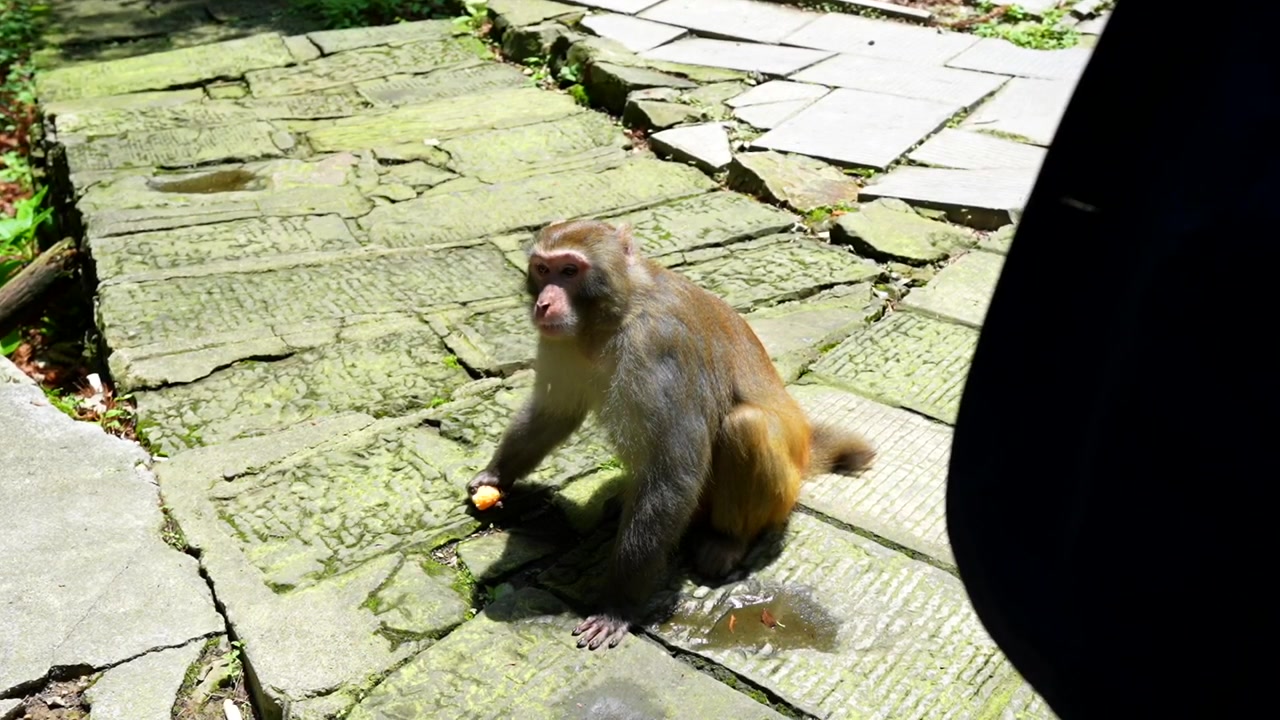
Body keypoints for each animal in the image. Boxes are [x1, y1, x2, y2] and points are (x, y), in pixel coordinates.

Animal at [466, 219, 875, 651]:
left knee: (746, 427)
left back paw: (728, 541)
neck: (613, 316)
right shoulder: (561, 340)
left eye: (570, 271)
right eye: (543, 270)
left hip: (782, 491)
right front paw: (497, 475)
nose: (543, 304)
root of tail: (804, 450)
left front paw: (618, 605)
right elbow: (554, 413)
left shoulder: (658, 348)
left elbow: (673, 471)